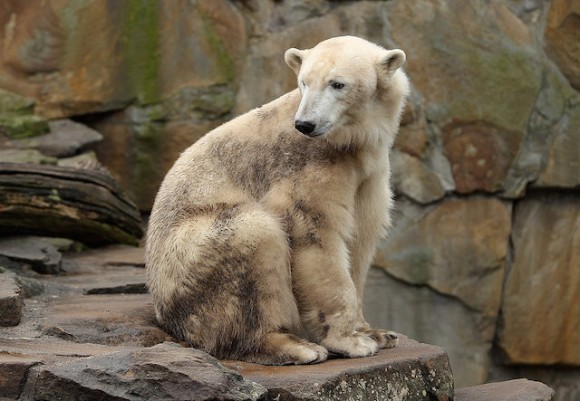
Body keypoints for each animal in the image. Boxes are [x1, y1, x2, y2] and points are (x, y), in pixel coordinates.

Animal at [147, 36, 410, 364]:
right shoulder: (307, 167)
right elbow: (316, 235)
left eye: (337, 84)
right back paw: (295, 346)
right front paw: (352, 341)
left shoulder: (367, 174)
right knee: (255, 236)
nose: (305, 124)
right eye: (304, 82)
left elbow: (360, 239)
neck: (350, 142)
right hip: (186, 263)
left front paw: (376, 333)